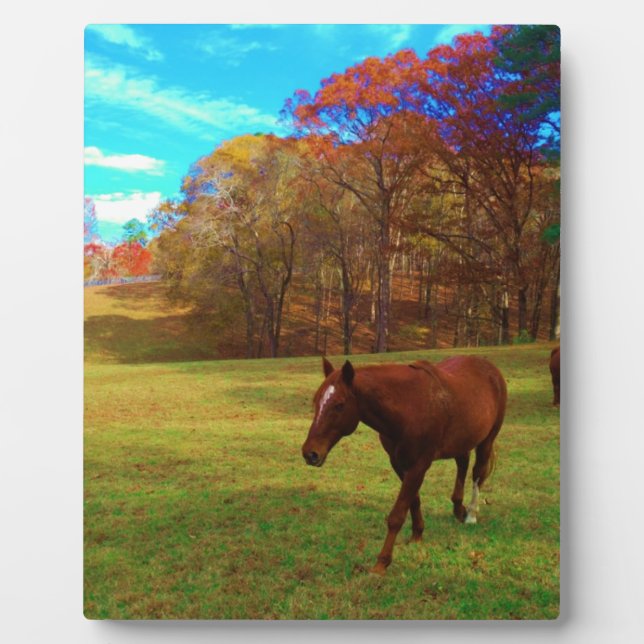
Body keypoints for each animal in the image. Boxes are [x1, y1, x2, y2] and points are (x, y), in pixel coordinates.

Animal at [301, 355, 507, 575]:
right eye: (316, 401)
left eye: (339, 405)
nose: (310, 453)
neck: (408, 406)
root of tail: (490, 368)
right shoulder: (399, 463)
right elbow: (413, 501)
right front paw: (417, 535)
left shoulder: (419, 465)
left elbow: (397, 515)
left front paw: (382, 562)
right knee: (462, 463)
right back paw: (458, 508)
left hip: (487, 440)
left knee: (478, 473)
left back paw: (471, 515)